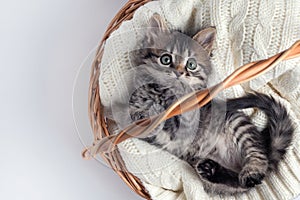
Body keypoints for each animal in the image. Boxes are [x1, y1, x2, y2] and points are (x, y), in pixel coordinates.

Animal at [127, 14, 294, 195]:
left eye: (191, 64)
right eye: (165, 59)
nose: (179, 72)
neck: (162, 93)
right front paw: (144, 114)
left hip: (237, 123)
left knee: (257, 158)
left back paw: (251, 172)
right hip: (200, 163)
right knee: (236, 182)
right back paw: (211, 170)